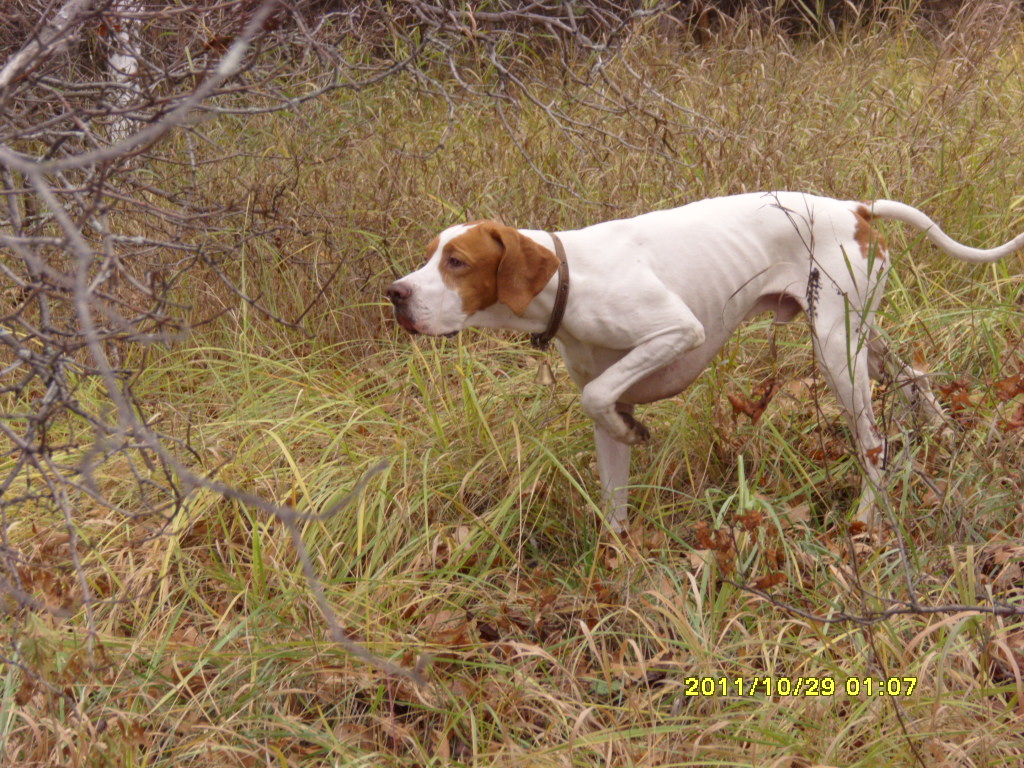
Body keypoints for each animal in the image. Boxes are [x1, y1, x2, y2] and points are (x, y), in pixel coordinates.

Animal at [385, 192, 1024, 532]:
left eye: (458, 262)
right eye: (431, 255)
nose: (395, 294)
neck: (569, 277)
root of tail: (853, 206)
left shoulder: (676, 330)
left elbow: (599, 396)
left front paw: (635, 426)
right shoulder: (605, 423)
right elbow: (613, 494)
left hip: (836, 353)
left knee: (873, 444)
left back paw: (865, 521)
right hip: (860, 335)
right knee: (916, 377)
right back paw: (949, 438)